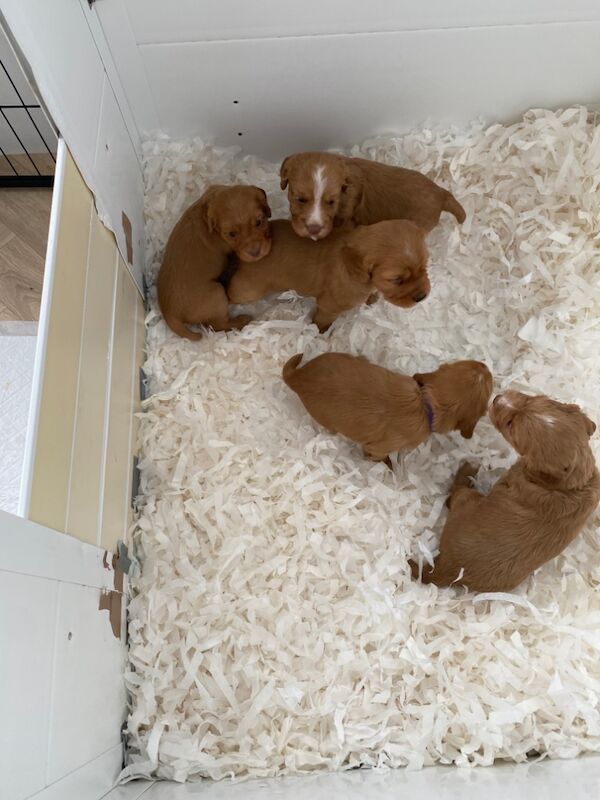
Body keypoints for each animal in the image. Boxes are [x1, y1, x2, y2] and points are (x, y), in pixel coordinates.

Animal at [158, 184, 274, 338]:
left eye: (259, 222)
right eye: (231, 234)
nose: (255, 253)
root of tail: (170, 313)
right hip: (216, 294)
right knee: (217, 325)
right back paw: (242, 320)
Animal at [227, 217, 428, 332]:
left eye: (425, 266)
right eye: (396, 280)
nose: (422, 297)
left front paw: (372, 299)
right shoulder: (329, 306)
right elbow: (322, 322)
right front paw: (320, 333)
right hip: (246, 290)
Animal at [282, 352, 492, 462]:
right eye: (490, 386)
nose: (485, 365)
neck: (427, 403)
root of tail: (297, 377)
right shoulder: (378, 448)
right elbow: (375, 455)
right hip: (327, 421)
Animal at [410, 390, 600, 592]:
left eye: (511, 425)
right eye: (536, 398)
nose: (497, 398)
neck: (574, 482)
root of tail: (447, 571)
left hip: (466, 499)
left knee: (454, 496)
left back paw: (467, 469)